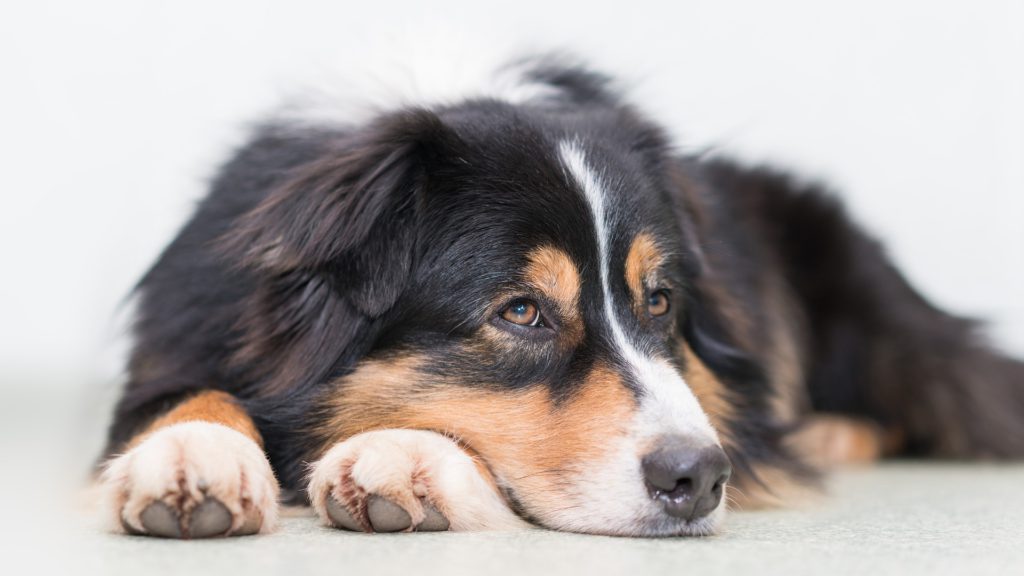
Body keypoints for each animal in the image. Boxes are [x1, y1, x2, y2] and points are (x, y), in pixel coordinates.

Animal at [97, 56, 1024, 537]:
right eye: (520, 312)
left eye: (660, 302)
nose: (698, 478)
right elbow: (182, 397)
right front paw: (192, 456)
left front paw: (402, 457)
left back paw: (828, 432)